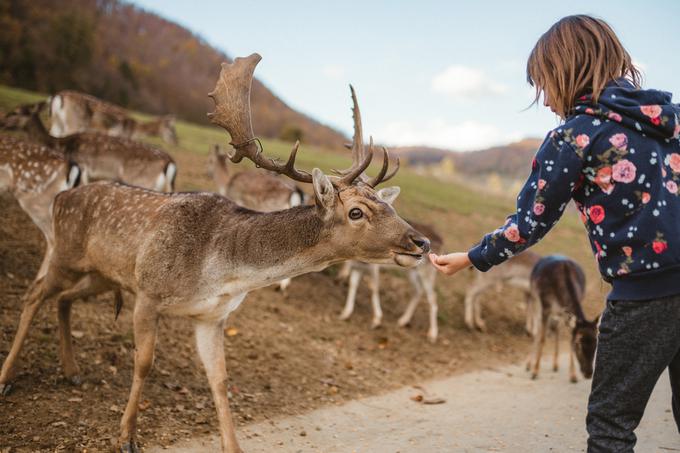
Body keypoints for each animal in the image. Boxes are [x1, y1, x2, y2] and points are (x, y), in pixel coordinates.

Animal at [1, 102, 177, 192]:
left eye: (16, 112)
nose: (2, 121)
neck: (61, 145)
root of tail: (170, 162)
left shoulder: (84, 169)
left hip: (143, 181)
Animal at [49, 88, 178, 144]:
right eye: (171, 129)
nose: (176, 141)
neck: (133, 132)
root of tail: (58, 96)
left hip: (57, 124)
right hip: (73, 124)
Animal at [524, 254, 600, 382]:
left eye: (596, 343)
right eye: (578, 344)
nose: (588, 373)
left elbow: (567, 338)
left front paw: (573, 376)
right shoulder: (546, 307)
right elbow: (542, 339)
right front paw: (535, 372)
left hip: (559, 314)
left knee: (556, 329)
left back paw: (555, 365)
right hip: (535, 299)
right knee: (536, 330)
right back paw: (528, 365)